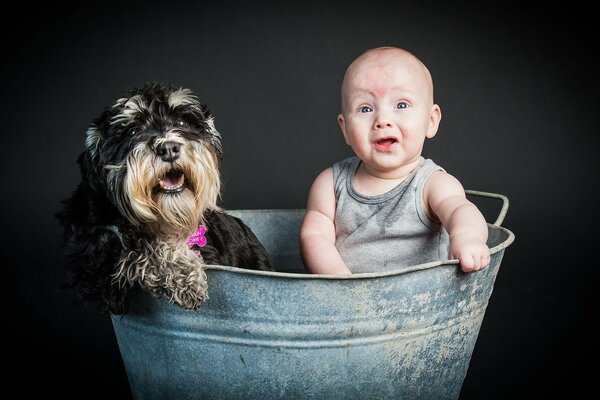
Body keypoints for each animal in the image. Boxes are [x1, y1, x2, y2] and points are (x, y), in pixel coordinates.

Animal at [56, 84, 272, 314]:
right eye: (132, 131)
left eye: (182, 122)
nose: (168, 148)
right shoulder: (89, 250)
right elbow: (138, 243)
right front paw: (185, 276)